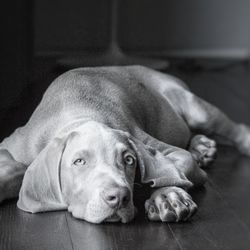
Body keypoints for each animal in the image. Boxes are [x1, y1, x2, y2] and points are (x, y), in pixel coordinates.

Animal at [0, 65, 250, 224]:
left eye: (129, 160)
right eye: (79, 162)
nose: (118, 197)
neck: (79, 114)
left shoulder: (142, 138)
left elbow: (175, 168)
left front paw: (169, 197)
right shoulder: (16, 142)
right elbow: (15, 168)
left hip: (194, 108)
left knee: (228, 127)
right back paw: (201, 147)